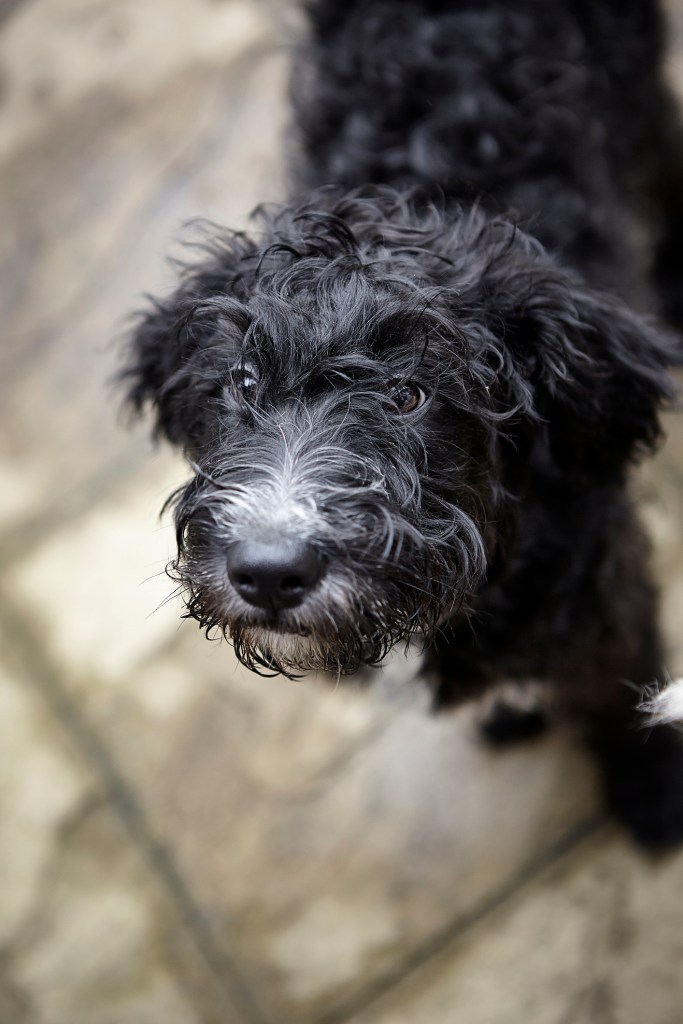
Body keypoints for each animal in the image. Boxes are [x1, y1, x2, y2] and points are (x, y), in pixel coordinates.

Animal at [122, 0, 683, 847]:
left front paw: (651, 787)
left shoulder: (600, 595)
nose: (268, 572)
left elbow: (622, 682)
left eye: (409, 396)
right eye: (242, 381)